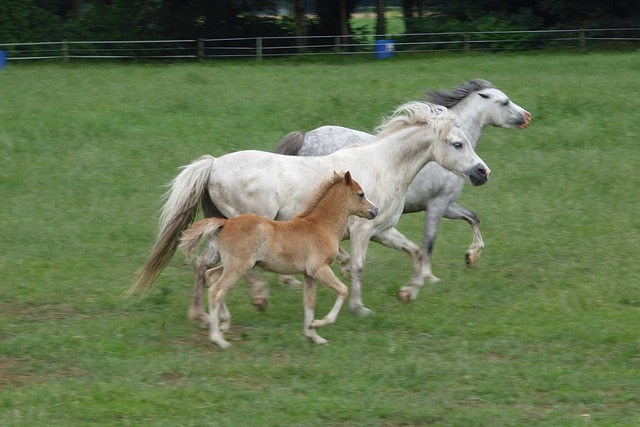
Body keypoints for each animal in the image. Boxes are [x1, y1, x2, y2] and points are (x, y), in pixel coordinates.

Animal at [127, 101, 491, 319]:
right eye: (457, 144)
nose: (482, 172)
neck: (383, 166)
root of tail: (214, 164)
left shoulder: (382, 230)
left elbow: (415, 252)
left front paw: (409, 292)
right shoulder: (362, 232)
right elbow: (357, 267)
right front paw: (359, 308)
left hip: (221, 231)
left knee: (203, 266)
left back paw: (202, 315)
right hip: (245, 228)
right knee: (233, 268)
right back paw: (257, 298)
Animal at [178, 171, 378, 348]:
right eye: (361, 194)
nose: (375, 210)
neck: (321, 227)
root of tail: (225, 223)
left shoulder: (309, 275)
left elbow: (309, 303)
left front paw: (313, 335)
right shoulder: (319, 269)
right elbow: (343, 290)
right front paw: (320, 323)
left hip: (233, 265)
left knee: (210, 276)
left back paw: (225, 323)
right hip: (238, 267)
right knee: (216, 291)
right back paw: (218, 339)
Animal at [274, 79, 531, 287]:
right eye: (505, 102)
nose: (527, 117)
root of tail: (305, 136)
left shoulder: (447, 205)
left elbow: (473, 217)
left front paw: (471, 256)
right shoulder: (437, 205)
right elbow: (429, 242)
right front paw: (429, 277)